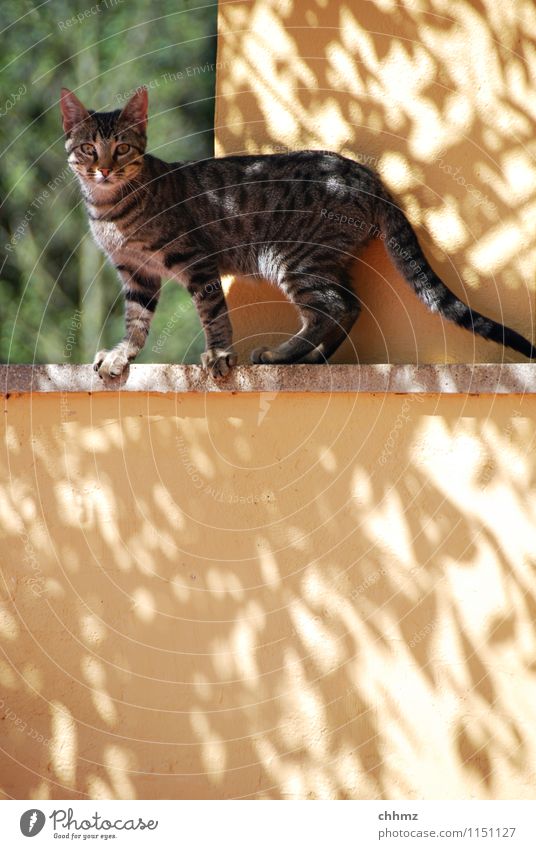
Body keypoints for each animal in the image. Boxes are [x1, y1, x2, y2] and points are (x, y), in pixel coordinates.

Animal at [59, 87, 536, 378]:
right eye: (88, 148)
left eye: (122, 148)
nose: (105, 169)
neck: (111, 210)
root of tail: (370, 179)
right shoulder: (136, 273)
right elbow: (136, 322)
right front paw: (121, 355)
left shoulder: (195, 261)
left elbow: (213, 314)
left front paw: (219, 355)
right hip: (323, 259)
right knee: (349, 305)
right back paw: (315, 357)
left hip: (292, 258)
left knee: (332, 306)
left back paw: (281, 354)